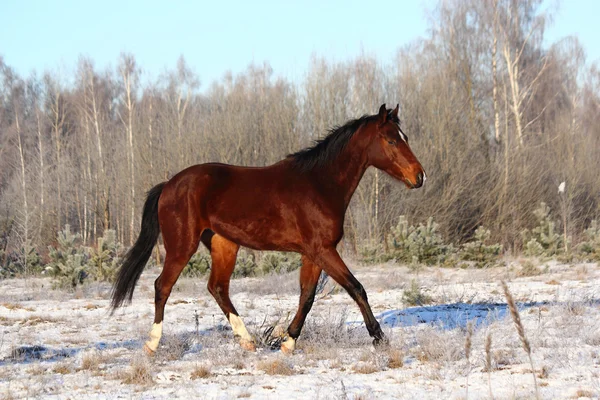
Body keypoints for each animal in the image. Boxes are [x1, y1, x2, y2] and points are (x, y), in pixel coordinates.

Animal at [109, 104, 426, 354]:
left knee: (218, 288)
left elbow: (307, 297)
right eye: (391, 140)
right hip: (181, 245)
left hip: (224, 244)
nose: (419, 176)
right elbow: (356, 288)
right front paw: (379, 338)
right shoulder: (323, 250)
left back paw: (248, 341)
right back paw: (152, 344)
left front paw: (288, 341)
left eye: (405, 138)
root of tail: (168, 185)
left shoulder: (313, 254)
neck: (320, 184)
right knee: (163, 286)